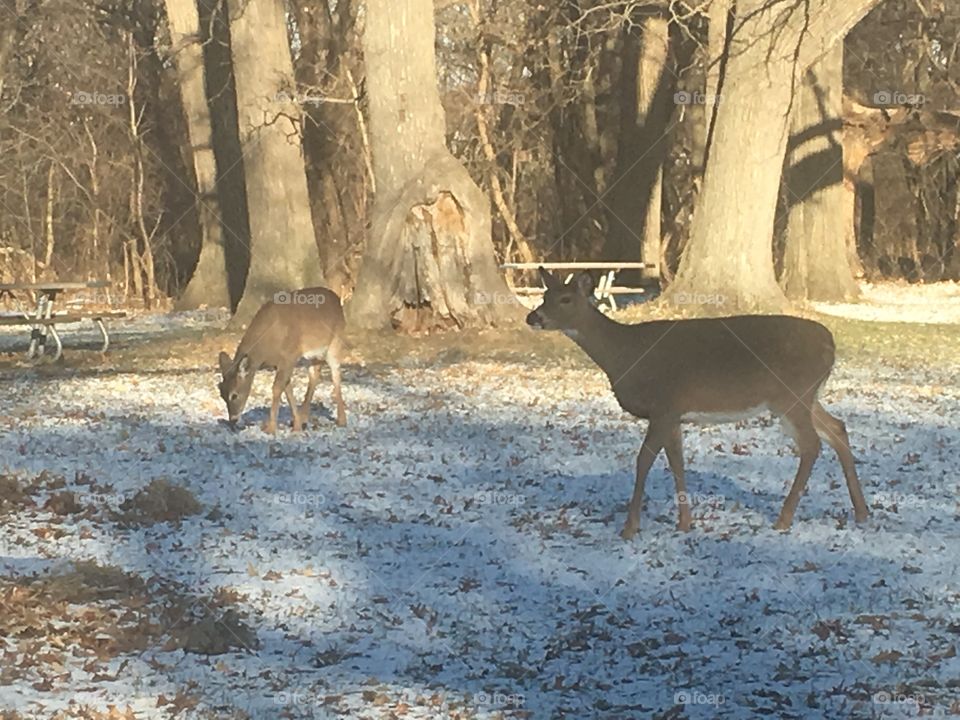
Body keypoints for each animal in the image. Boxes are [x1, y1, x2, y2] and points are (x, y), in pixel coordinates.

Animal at [217, 287, 347, 434]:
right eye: (221, 393)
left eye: (234, 395)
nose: (233, 420)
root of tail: (336, 299)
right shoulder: (278, 363)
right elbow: (287, 389)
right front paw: (297, 424)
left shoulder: (290, 355)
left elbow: (277, 388)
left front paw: (271, 428)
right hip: (314, 354)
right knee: (314, 374)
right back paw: (304, 418)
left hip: (335, 342)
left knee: (336, 374)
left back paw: (342, 420)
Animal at [526, 268, 869, 539]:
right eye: (544, 294)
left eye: (565, 299)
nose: (533, 316)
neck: (624, 354)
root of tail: (830, 343)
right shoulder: (674, 414)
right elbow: (677, 462)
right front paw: (685, 524)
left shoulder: (664, 404)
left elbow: (643, 460)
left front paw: (630, 528)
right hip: (807, 396)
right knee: (837, 428)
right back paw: (862, 512)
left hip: (791, 395)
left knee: (812, 444)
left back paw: (784, 519)